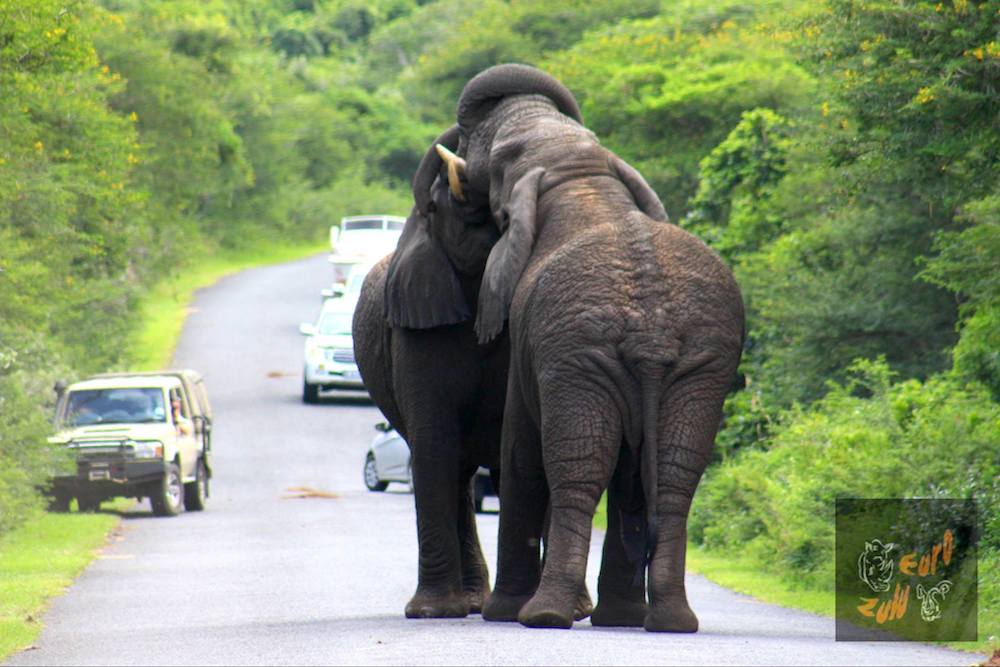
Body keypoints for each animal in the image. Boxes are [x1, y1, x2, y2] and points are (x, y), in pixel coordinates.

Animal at [440, 64, 752, 632]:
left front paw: (501, 614)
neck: (579, 174)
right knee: (673, 478)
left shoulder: (534, 348)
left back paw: (542, 616)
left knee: (576, 472)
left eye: (501, 157)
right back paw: (661, 622)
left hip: (579, 358)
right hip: (699, 366)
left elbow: (518, 453)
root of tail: (651, 331)